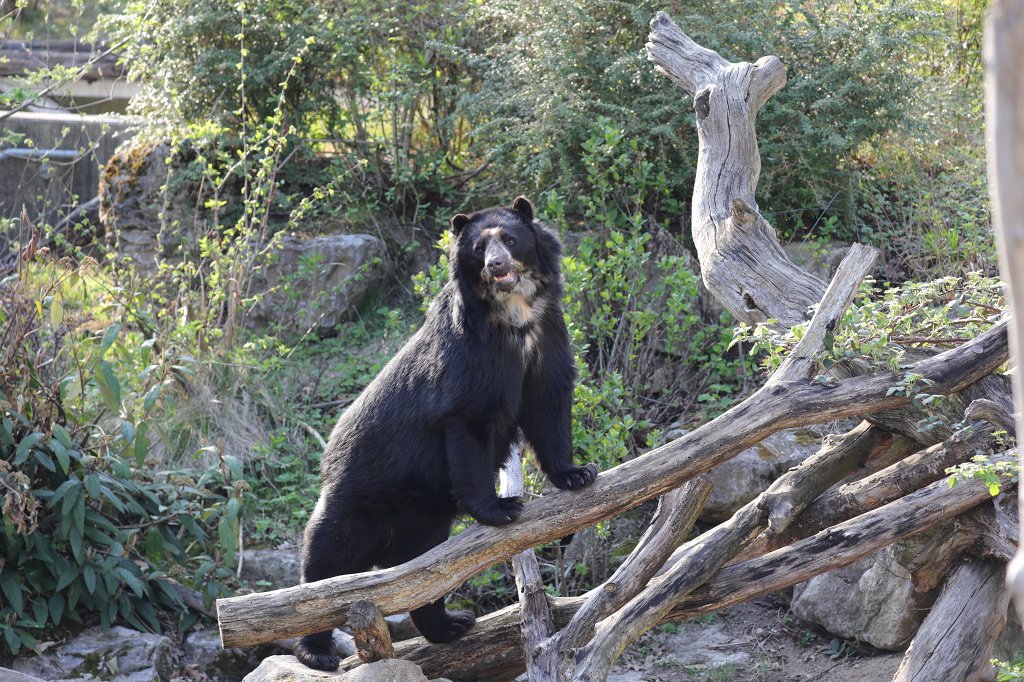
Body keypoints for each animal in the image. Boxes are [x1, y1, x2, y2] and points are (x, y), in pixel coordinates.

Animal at [294, 196, 598, 671]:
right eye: (478, 248)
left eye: (510, 239)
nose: (496, 265)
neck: (514, 313)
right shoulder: (468, 362)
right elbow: (468, 423)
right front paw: (501, 508)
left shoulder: (547, 335)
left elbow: (548, 401)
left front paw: (577, 474)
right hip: (355, 502)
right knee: (325, 565)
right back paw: (316, 651)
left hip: (424, 524)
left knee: (423, 578)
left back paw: (451, 624)